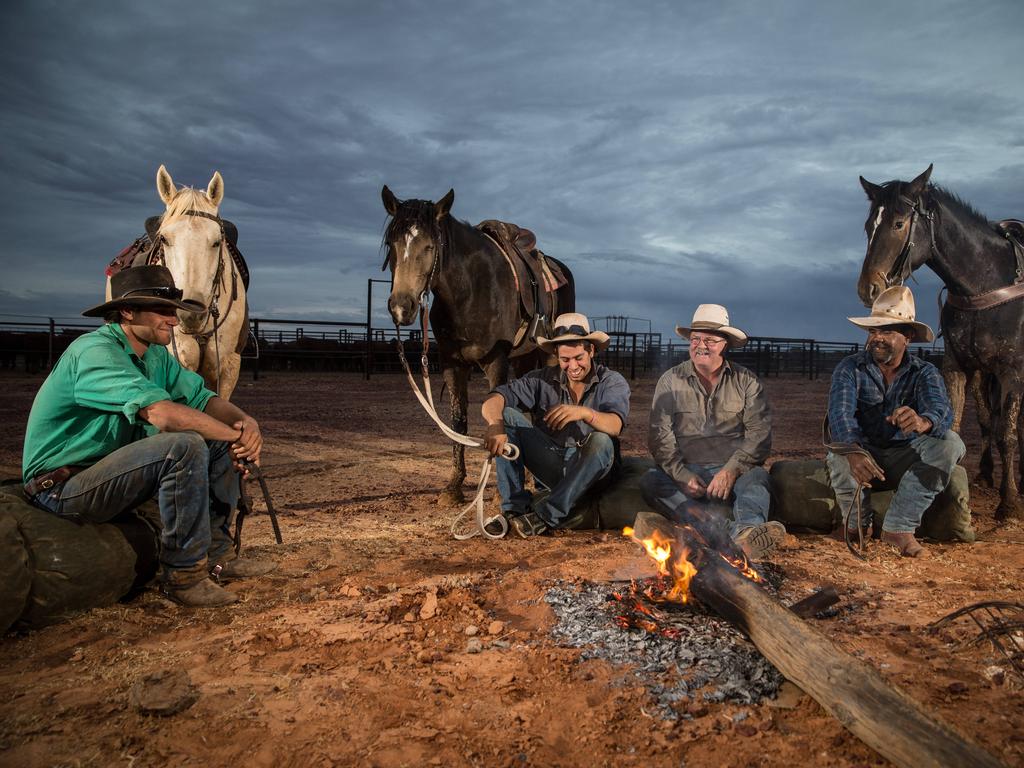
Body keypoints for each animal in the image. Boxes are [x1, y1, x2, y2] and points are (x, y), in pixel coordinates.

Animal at [382, 183, 577, 501]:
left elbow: (495, 418)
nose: (401, 307)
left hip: (549, 353)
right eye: (392, 245)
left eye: (430, 246)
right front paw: (454, 486)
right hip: (523, 358)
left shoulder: (496, 363)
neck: (470, 290)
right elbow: (458, 420)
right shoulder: (452, 364)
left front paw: (502, 490)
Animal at [860, 164, 1019, 520]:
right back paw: (985, 473)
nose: (868, 289)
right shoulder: (957, 368)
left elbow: (1008, 434)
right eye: (867, 226)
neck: (986, 283)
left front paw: (1010, 503)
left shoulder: (1012, 371)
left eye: (899, 223)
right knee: (986, 420)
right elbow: (959, 426)